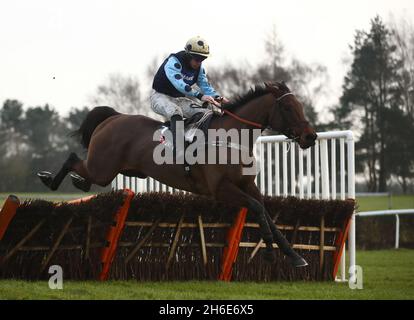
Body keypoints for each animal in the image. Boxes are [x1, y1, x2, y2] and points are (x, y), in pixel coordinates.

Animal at [38, 81, 316, 266]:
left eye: (300, 106)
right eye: (288, 108)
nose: (310, 137)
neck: (230, 138)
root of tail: (113, 118)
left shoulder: (247, 185)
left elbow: (265, 212)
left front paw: (294, 255)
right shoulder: (221, 190)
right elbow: (257, 209)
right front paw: (269, 252)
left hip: (119, 170)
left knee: (84, 173)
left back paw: (77, 183)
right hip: (103, 168)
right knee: (74, 160)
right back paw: (49, 180)